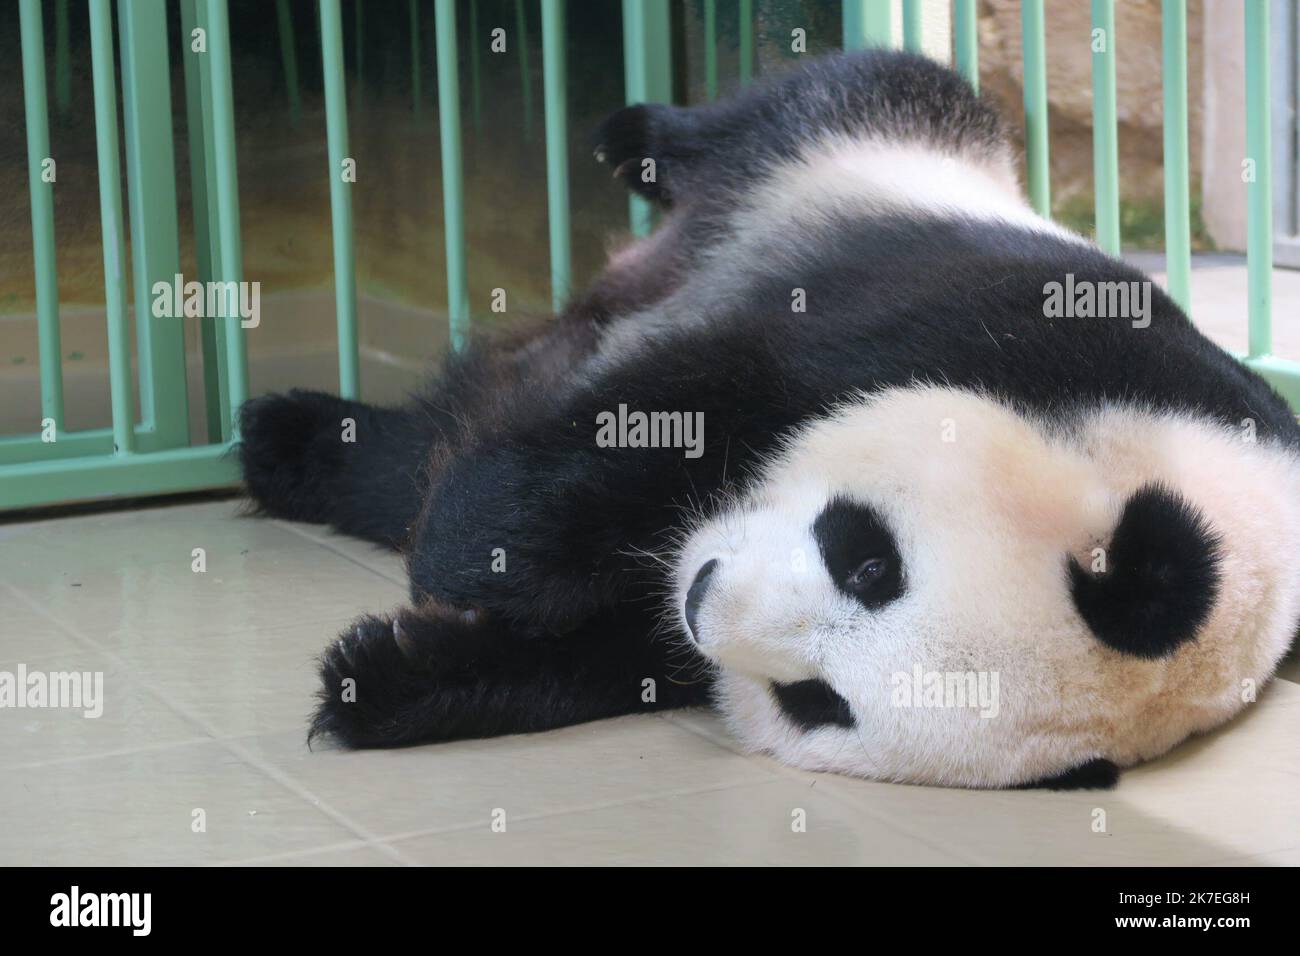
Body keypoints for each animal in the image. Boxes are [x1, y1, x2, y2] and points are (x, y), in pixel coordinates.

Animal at [239, 48, 1300, 790]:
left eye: (817, 701)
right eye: (870, 563)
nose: (704, 594)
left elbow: (620, 655)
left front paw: (384, 678)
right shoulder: (990, 331)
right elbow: (679, 409)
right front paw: (474, 557)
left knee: (427, 443)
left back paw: (297, 449)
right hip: (875, 152)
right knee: (830, 98)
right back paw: (634, 139)